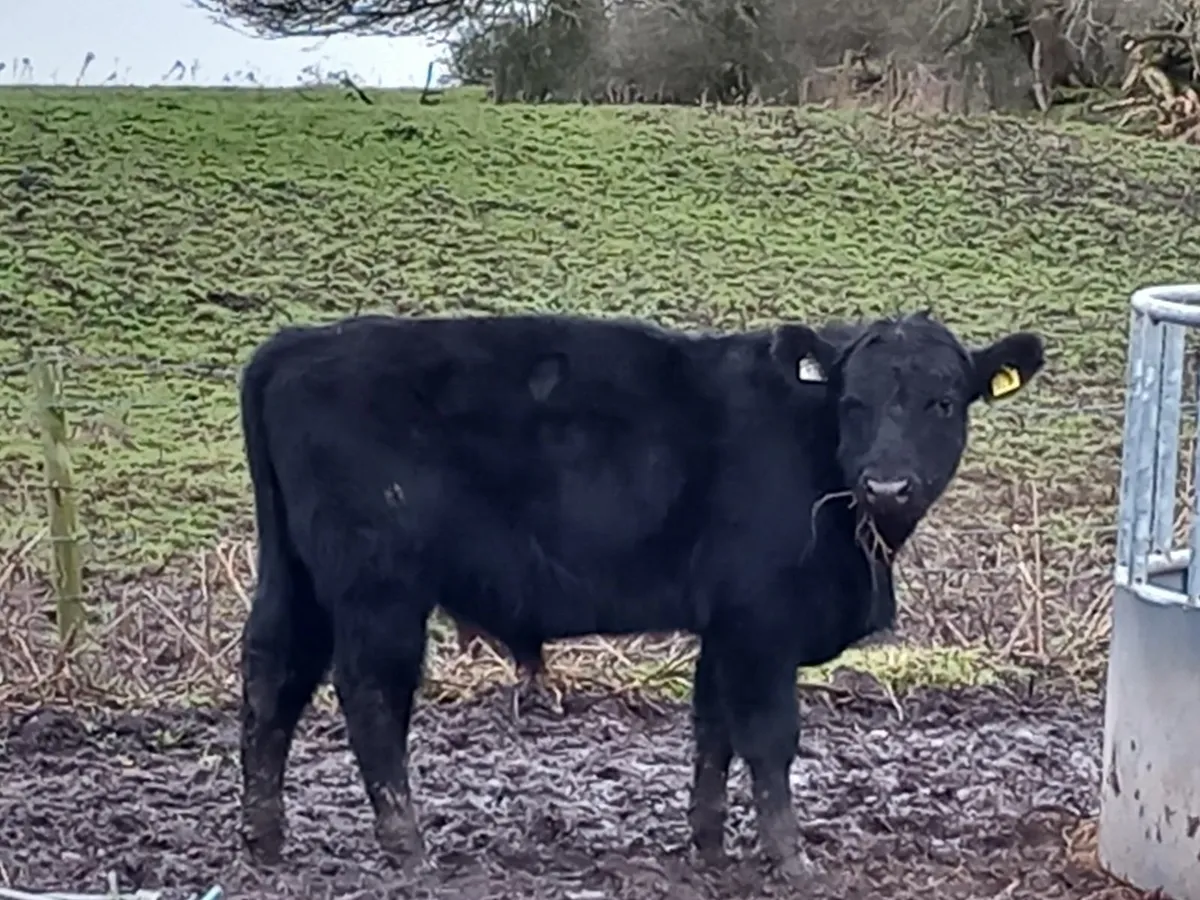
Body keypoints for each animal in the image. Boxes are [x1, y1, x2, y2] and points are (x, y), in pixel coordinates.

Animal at [235, 309, 1045, 877]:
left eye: (944, 402)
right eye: (853, 403)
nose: (888, 484)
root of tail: (298, 343)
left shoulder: (726, 623)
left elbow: (713, 731)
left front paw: (709, 845)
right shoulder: (761, 621)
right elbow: (770, 736)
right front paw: (790, 857)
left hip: (296, 578)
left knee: (273, 677)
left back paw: (264, 837)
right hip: (380, 588)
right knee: (370, 697)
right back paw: (407, 847)